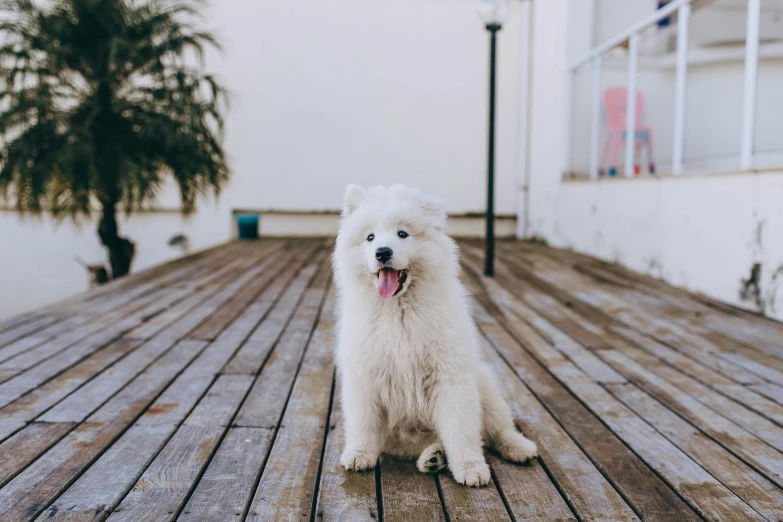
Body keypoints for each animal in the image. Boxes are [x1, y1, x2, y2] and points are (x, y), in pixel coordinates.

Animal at [330, 183, 540, 484]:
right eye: (370, 237)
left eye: (402, 234)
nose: (382, 252)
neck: (399, 311)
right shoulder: (364, 376)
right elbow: (363, 423)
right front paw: (359, 455)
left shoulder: (450, 376)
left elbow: (461, 429)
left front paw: (470, 468)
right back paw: (434, 457)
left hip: (485, 385)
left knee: (497, 430)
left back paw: (519, 448)